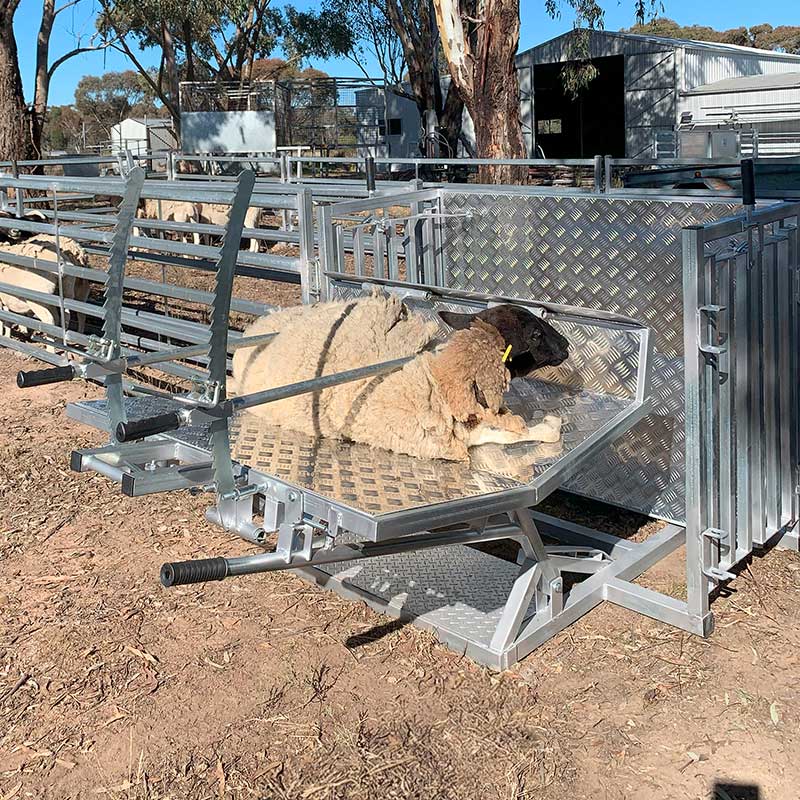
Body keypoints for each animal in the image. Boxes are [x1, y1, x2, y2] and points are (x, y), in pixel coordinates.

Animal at [232, 290, 570, 462]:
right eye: (535, 334)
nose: (567, 345)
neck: (438, 379)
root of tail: (259, 324)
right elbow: (524, 432)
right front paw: (550, 423)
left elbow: (503, 433)